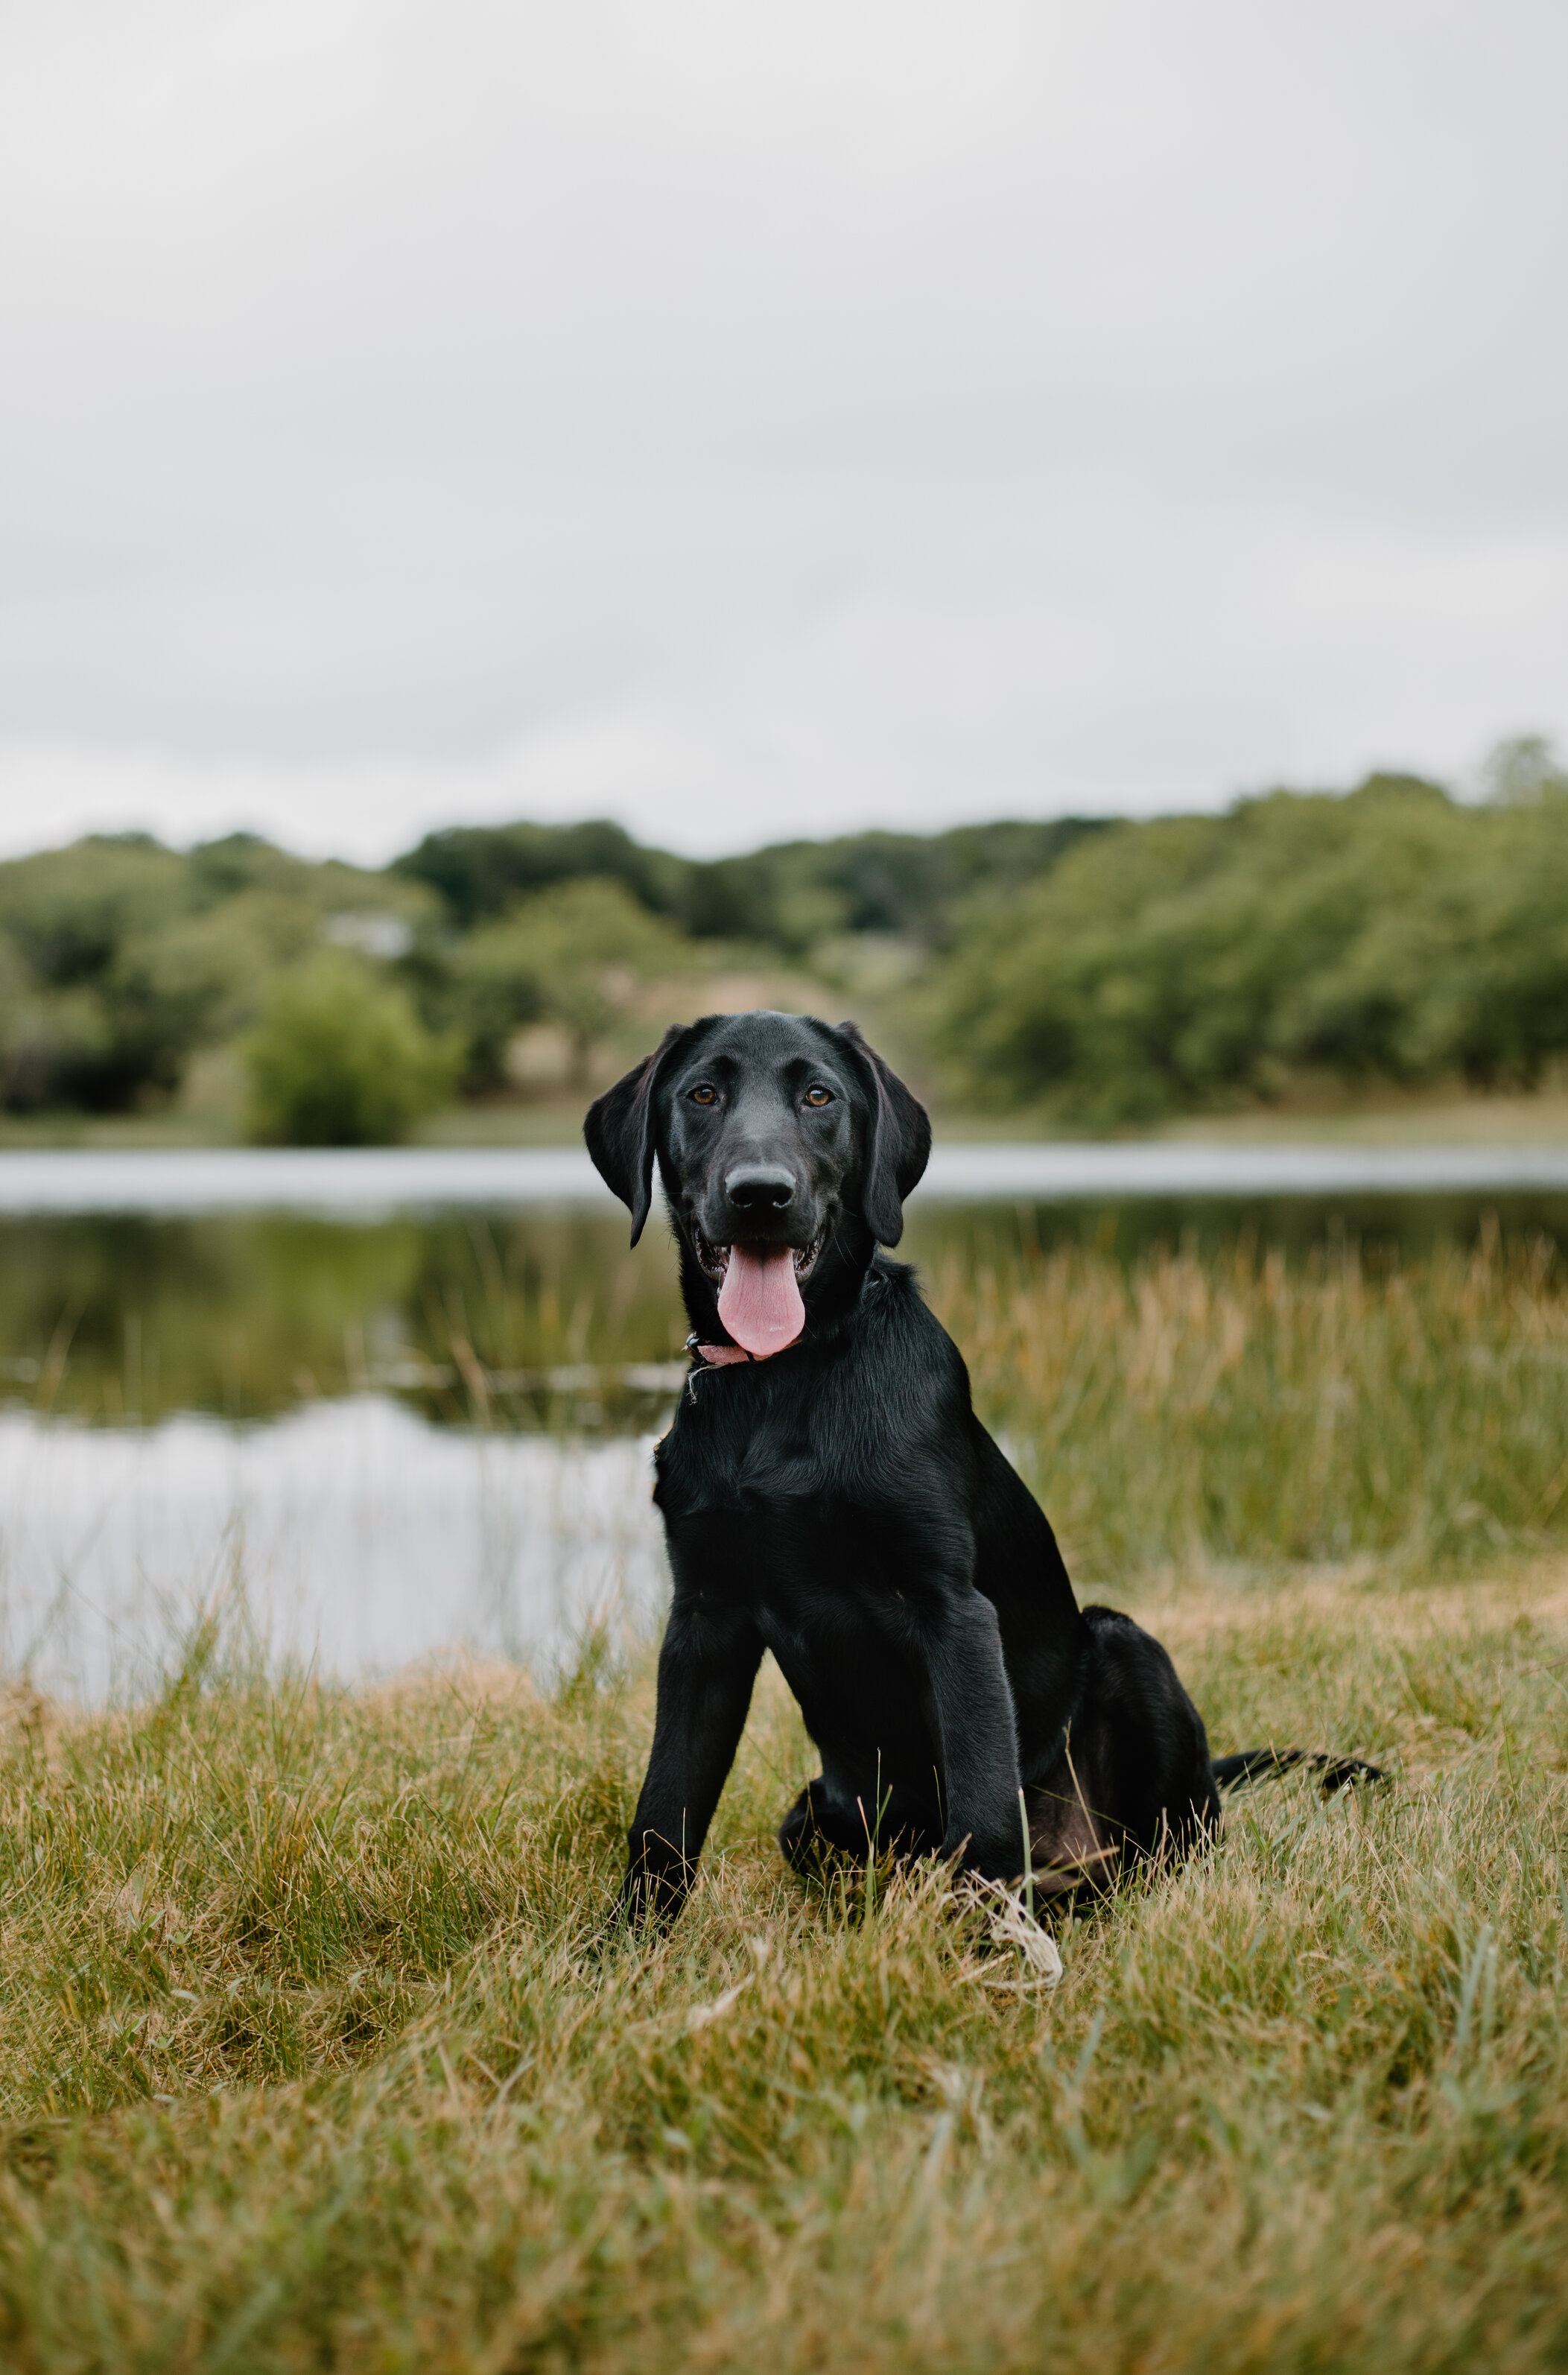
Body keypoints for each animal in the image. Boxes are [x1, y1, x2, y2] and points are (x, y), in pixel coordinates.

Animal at [584, 1012, 1368, 1918]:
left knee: (1166, 1844)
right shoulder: (704, 1618)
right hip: (814, 1812)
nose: (760, 1194)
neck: (784, 1377)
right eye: (702, 1093)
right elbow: (663, 1811)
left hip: (1126, 1649)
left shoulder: (951, 1607)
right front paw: (628, 1942)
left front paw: (986, 1945)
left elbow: (983, 1802)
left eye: (818, 1095)